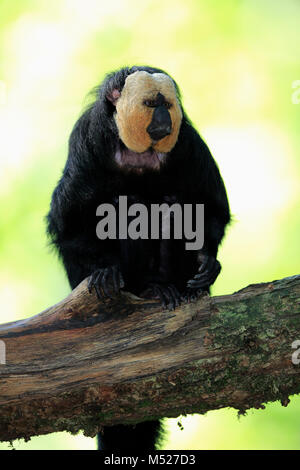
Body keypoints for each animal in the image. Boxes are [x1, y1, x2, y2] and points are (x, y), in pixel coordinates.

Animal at [47, 66, 231, 452]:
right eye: (151, 104)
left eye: (168, 106)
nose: (163, 120)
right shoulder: (87, 142)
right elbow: (67, 226)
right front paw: (104, 270)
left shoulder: (187, 143)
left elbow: (212, 208)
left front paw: (207, 263)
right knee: (126, 204)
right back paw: (146, 288)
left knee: (173, 204)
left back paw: (177, 289)